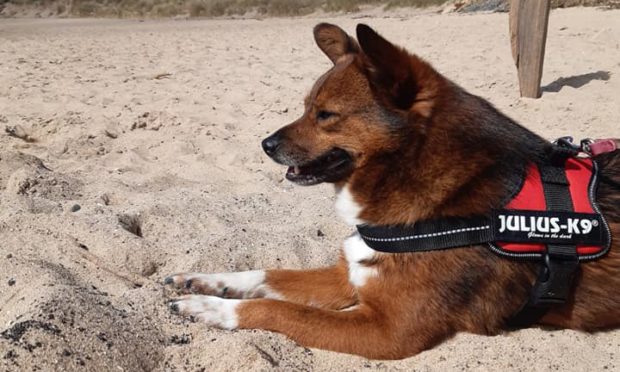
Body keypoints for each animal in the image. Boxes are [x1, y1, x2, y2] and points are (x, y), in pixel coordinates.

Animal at [165, 24, 620, 360]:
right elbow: (266, 274)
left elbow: (276, 307)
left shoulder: (388, 330)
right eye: (305, 107)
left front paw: (212, 308)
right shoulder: (347, 276)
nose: (265, 144)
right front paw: (205, 282)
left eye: (325, 114)